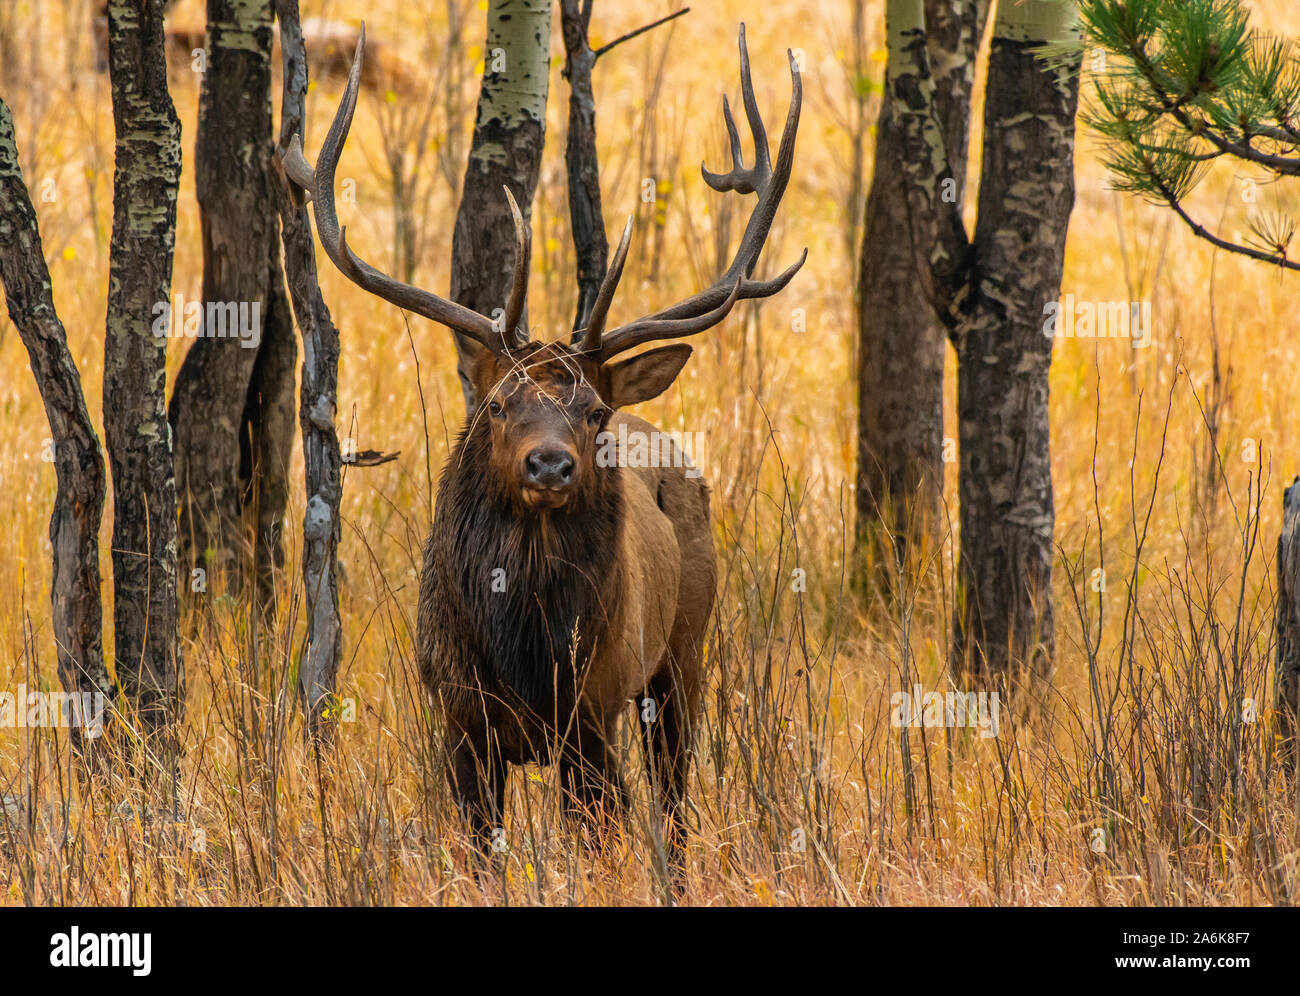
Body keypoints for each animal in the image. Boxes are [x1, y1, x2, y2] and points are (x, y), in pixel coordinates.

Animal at [284, 17, 800, 873]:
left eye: (592, 410)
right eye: (497, 404)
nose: (550, 463)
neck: (522, 654)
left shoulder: (593, 714)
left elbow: (603, 836)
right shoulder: (458, 719)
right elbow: (477, 846)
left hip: (683, 655)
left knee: (676, 801)